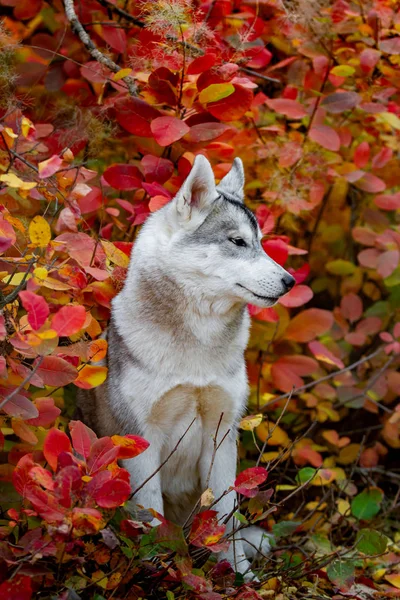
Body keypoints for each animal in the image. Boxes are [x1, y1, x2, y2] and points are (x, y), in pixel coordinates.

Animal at [78, 155, 296, 576]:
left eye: (260, 243)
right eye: (238, 242)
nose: (289, 281)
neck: (196, 346)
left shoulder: (223, 434)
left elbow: (225, 514)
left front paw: (239, 573)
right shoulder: (140, 438)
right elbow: (150, 513)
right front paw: (152, 570)